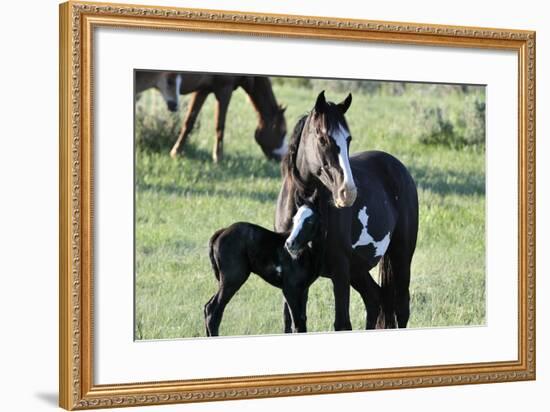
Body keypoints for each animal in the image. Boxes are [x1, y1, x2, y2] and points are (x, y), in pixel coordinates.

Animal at [276, 91, 418, 330]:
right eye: (323, 139)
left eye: (348, 139)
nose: (347, 192)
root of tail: (398, 168)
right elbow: (293, 324)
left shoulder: (340, 271)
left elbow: (342, 322)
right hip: (359, 270)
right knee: (375, 299)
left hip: (400, 256)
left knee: (400, 308)